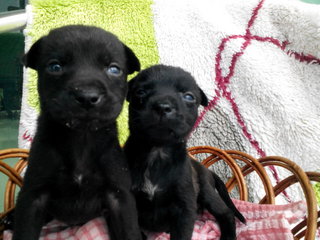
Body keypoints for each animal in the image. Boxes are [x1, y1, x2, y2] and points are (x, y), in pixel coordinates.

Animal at [13, 25, 141, 240]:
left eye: (114, 69)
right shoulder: (33, 197)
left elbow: (130, 231)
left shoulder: (119, 196)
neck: (82, 137)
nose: (87, 96)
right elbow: (24, 231)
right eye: (55, 67)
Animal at [125, 65, 245, 240]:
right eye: (140, 92)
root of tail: (207, 169)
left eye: (188, 96)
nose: (163, 107)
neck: (157, 151)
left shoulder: (184, 207)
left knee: (226, 213)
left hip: (207, 191)